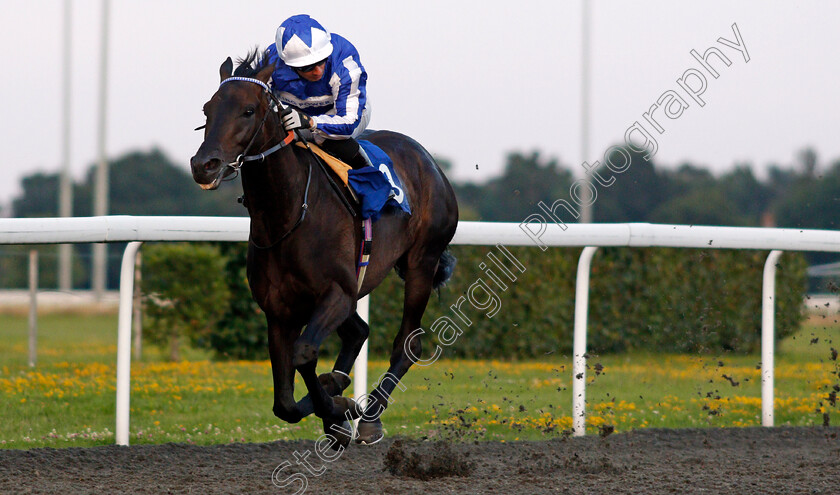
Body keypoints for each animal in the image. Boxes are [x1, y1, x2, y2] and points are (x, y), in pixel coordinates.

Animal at [190, 52, 460, 452]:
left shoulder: (337, 292)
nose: (203, 165)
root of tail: (429, 161)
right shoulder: (280, 310)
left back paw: (370, 417)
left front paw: (338, 405)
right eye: (208, 109)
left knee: (407, 343)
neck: (289, 216)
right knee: (359, 331)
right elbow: (284, 403)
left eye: (249, 110)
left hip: (420, 263)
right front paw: (335, 406)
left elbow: (304, 353)